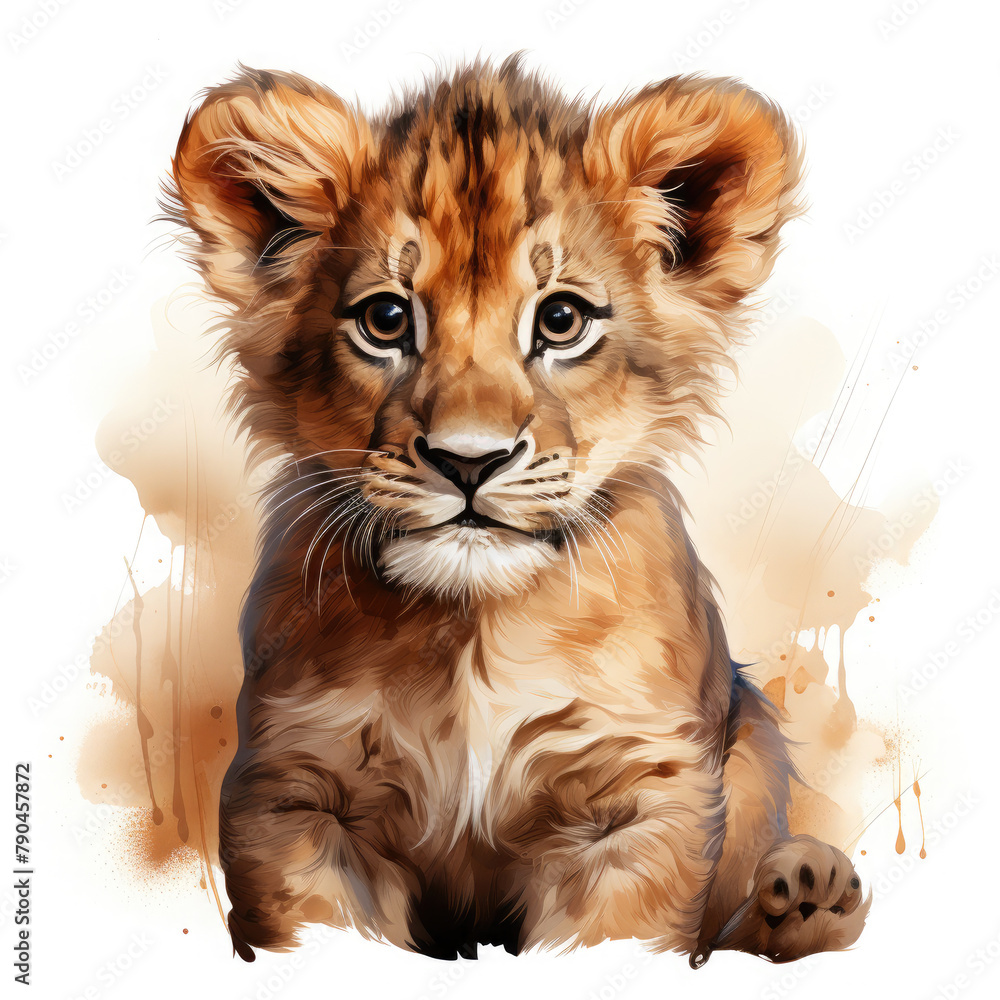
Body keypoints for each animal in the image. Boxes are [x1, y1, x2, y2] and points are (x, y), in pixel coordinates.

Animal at [165, 56, 869, 965]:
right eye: (386, 319)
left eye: (562, 320)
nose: (469, 461)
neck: (473, 630)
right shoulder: (297, 792)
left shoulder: (641, 798)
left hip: (753, 744)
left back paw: (808, 892)